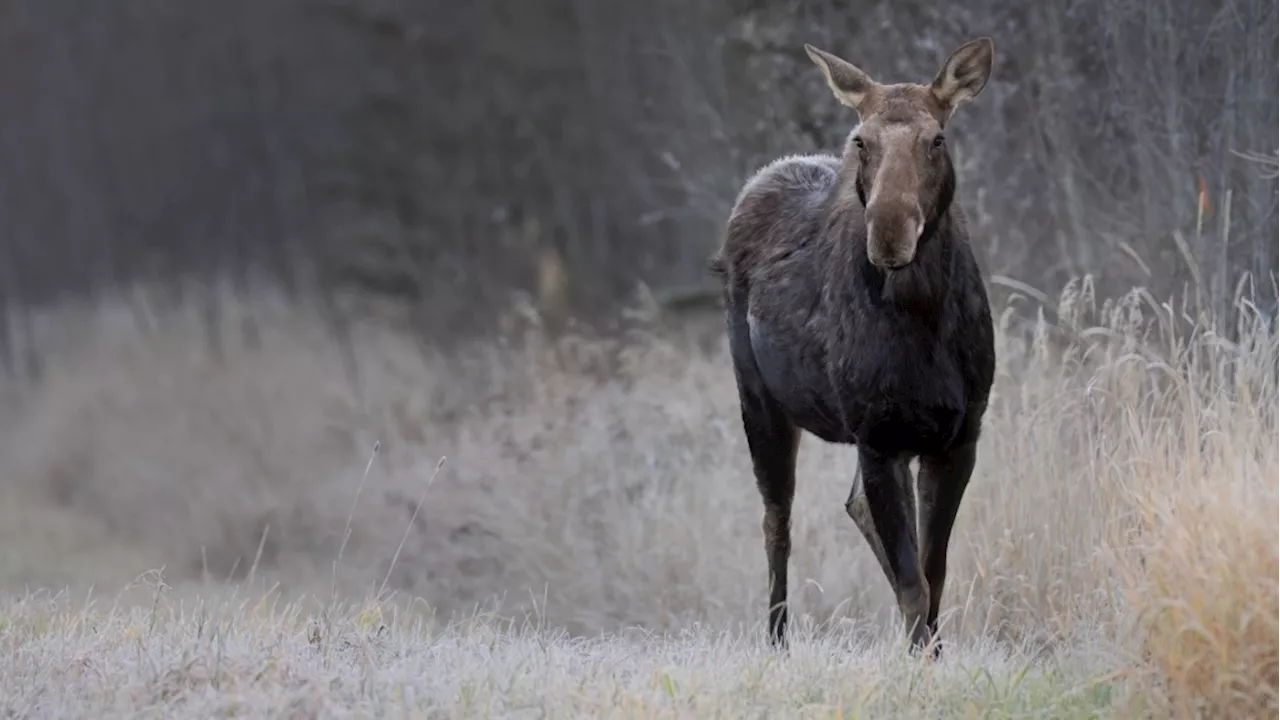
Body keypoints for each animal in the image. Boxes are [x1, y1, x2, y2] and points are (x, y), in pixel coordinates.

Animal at [711, 40, 998, 655]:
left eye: (936, 139)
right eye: (861, 139)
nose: (889, 233)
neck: (924, 320)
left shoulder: (959, 437)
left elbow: (933, 576)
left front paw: (934, 657)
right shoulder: (875, 436)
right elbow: (915, 584)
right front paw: (917, 663)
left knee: (855, 510)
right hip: (758, 399)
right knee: (777, 521)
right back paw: (777, 643)